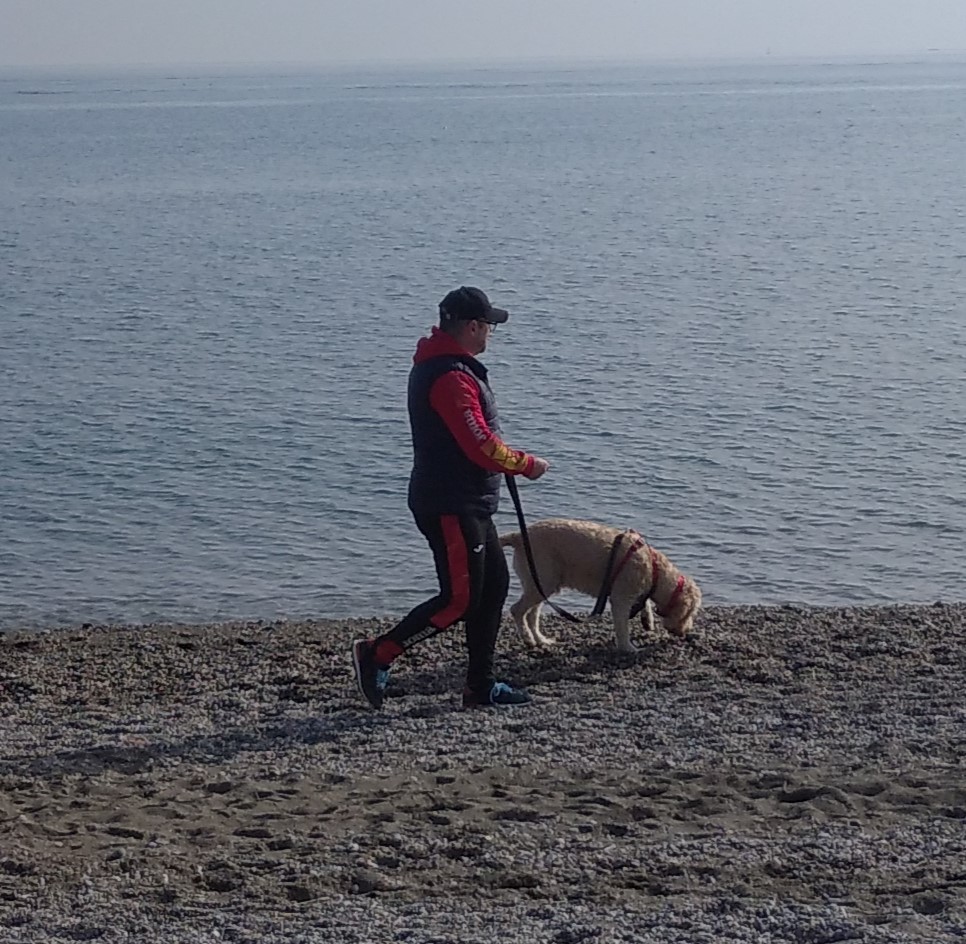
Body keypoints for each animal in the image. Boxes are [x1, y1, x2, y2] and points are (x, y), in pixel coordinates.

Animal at [500, 518, 701, 653]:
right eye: (690, 613)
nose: (685, 632)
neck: (654, 569)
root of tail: (518, 536)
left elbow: (644, 602)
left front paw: (647, 619)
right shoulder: (621, 599)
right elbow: (622, 627)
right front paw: (628, 648)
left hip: (541, 583)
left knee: (532, 614)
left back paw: (541, 640)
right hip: (542, 580)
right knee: (517, 610)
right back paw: (528, 638)